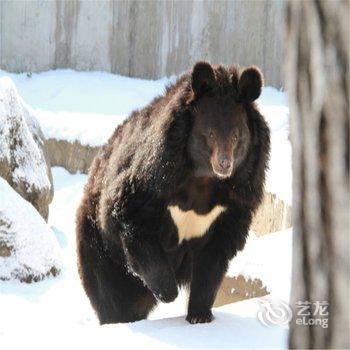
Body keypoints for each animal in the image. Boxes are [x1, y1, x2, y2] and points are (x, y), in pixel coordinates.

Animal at [76, 60, 270, 326]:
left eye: (236, 136)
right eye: (209, 133)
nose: (224, 164)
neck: (203, 178)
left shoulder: (237, 200)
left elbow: (214, 259)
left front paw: (200, 314)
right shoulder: (155, 177)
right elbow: (131, 217)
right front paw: (168, 291)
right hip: (100, 247)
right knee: (113, 295)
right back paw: (120, 317)